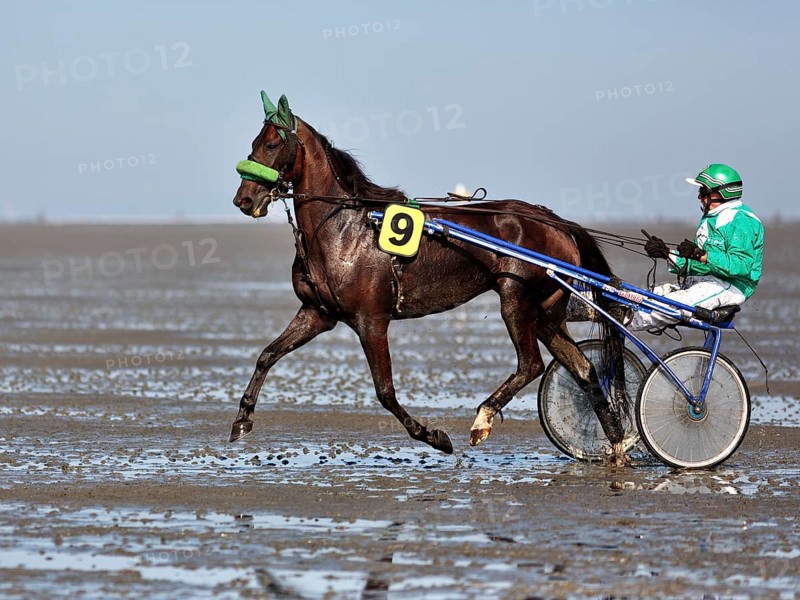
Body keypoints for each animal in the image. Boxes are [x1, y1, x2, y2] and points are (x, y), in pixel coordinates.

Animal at [229, 91, 630, 464]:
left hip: (516, 298)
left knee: (531, 364)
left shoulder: (371, 320)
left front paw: (435, 436)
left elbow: (385, 392)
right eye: (253, 143)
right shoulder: (318, 314)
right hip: (547, 312)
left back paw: (482, 419)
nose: (243, 201)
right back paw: (617, 444)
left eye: (271, 144)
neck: (342, 229)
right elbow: (267, 355)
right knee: (583, 368)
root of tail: (557, 221)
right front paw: (242, 419)